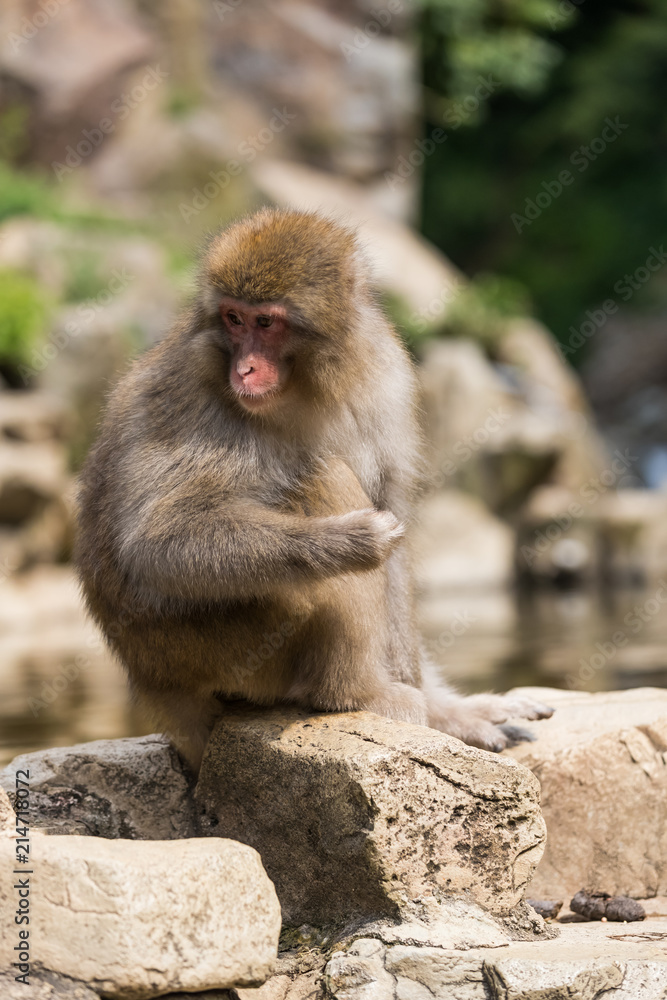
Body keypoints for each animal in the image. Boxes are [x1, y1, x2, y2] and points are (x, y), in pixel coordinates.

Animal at [75, 208, 552, 772]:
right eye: (233, 319)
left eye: (266, 323)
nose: (244, 368)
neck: (307, 389)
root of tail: (152, 682)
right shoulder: (194, 396)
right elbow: (154, 545)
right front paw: (346, 542)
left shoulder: (387, 375)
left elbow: (392, 513)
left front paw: (443, 714)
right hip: (218, 648)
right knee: (324, 477)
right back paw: (354, 692)